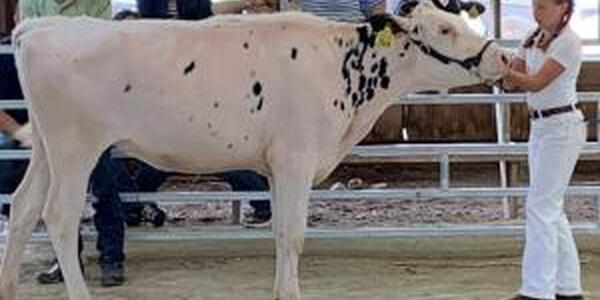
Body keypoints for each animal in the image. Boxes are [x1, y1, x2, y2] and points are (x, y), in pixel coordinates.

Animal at [0, 2, 508, 300]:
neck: (341, 65)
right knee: (59, 216)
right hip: (75, 147)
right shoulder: (295, 159)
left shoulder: (279, 165)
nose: (503, 56)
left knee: (23, 208)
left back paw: (8, 286)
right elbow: (293, 234)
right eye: (443, 29)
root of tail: (42, 27)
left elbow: (281, 234)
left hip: (46, 147)